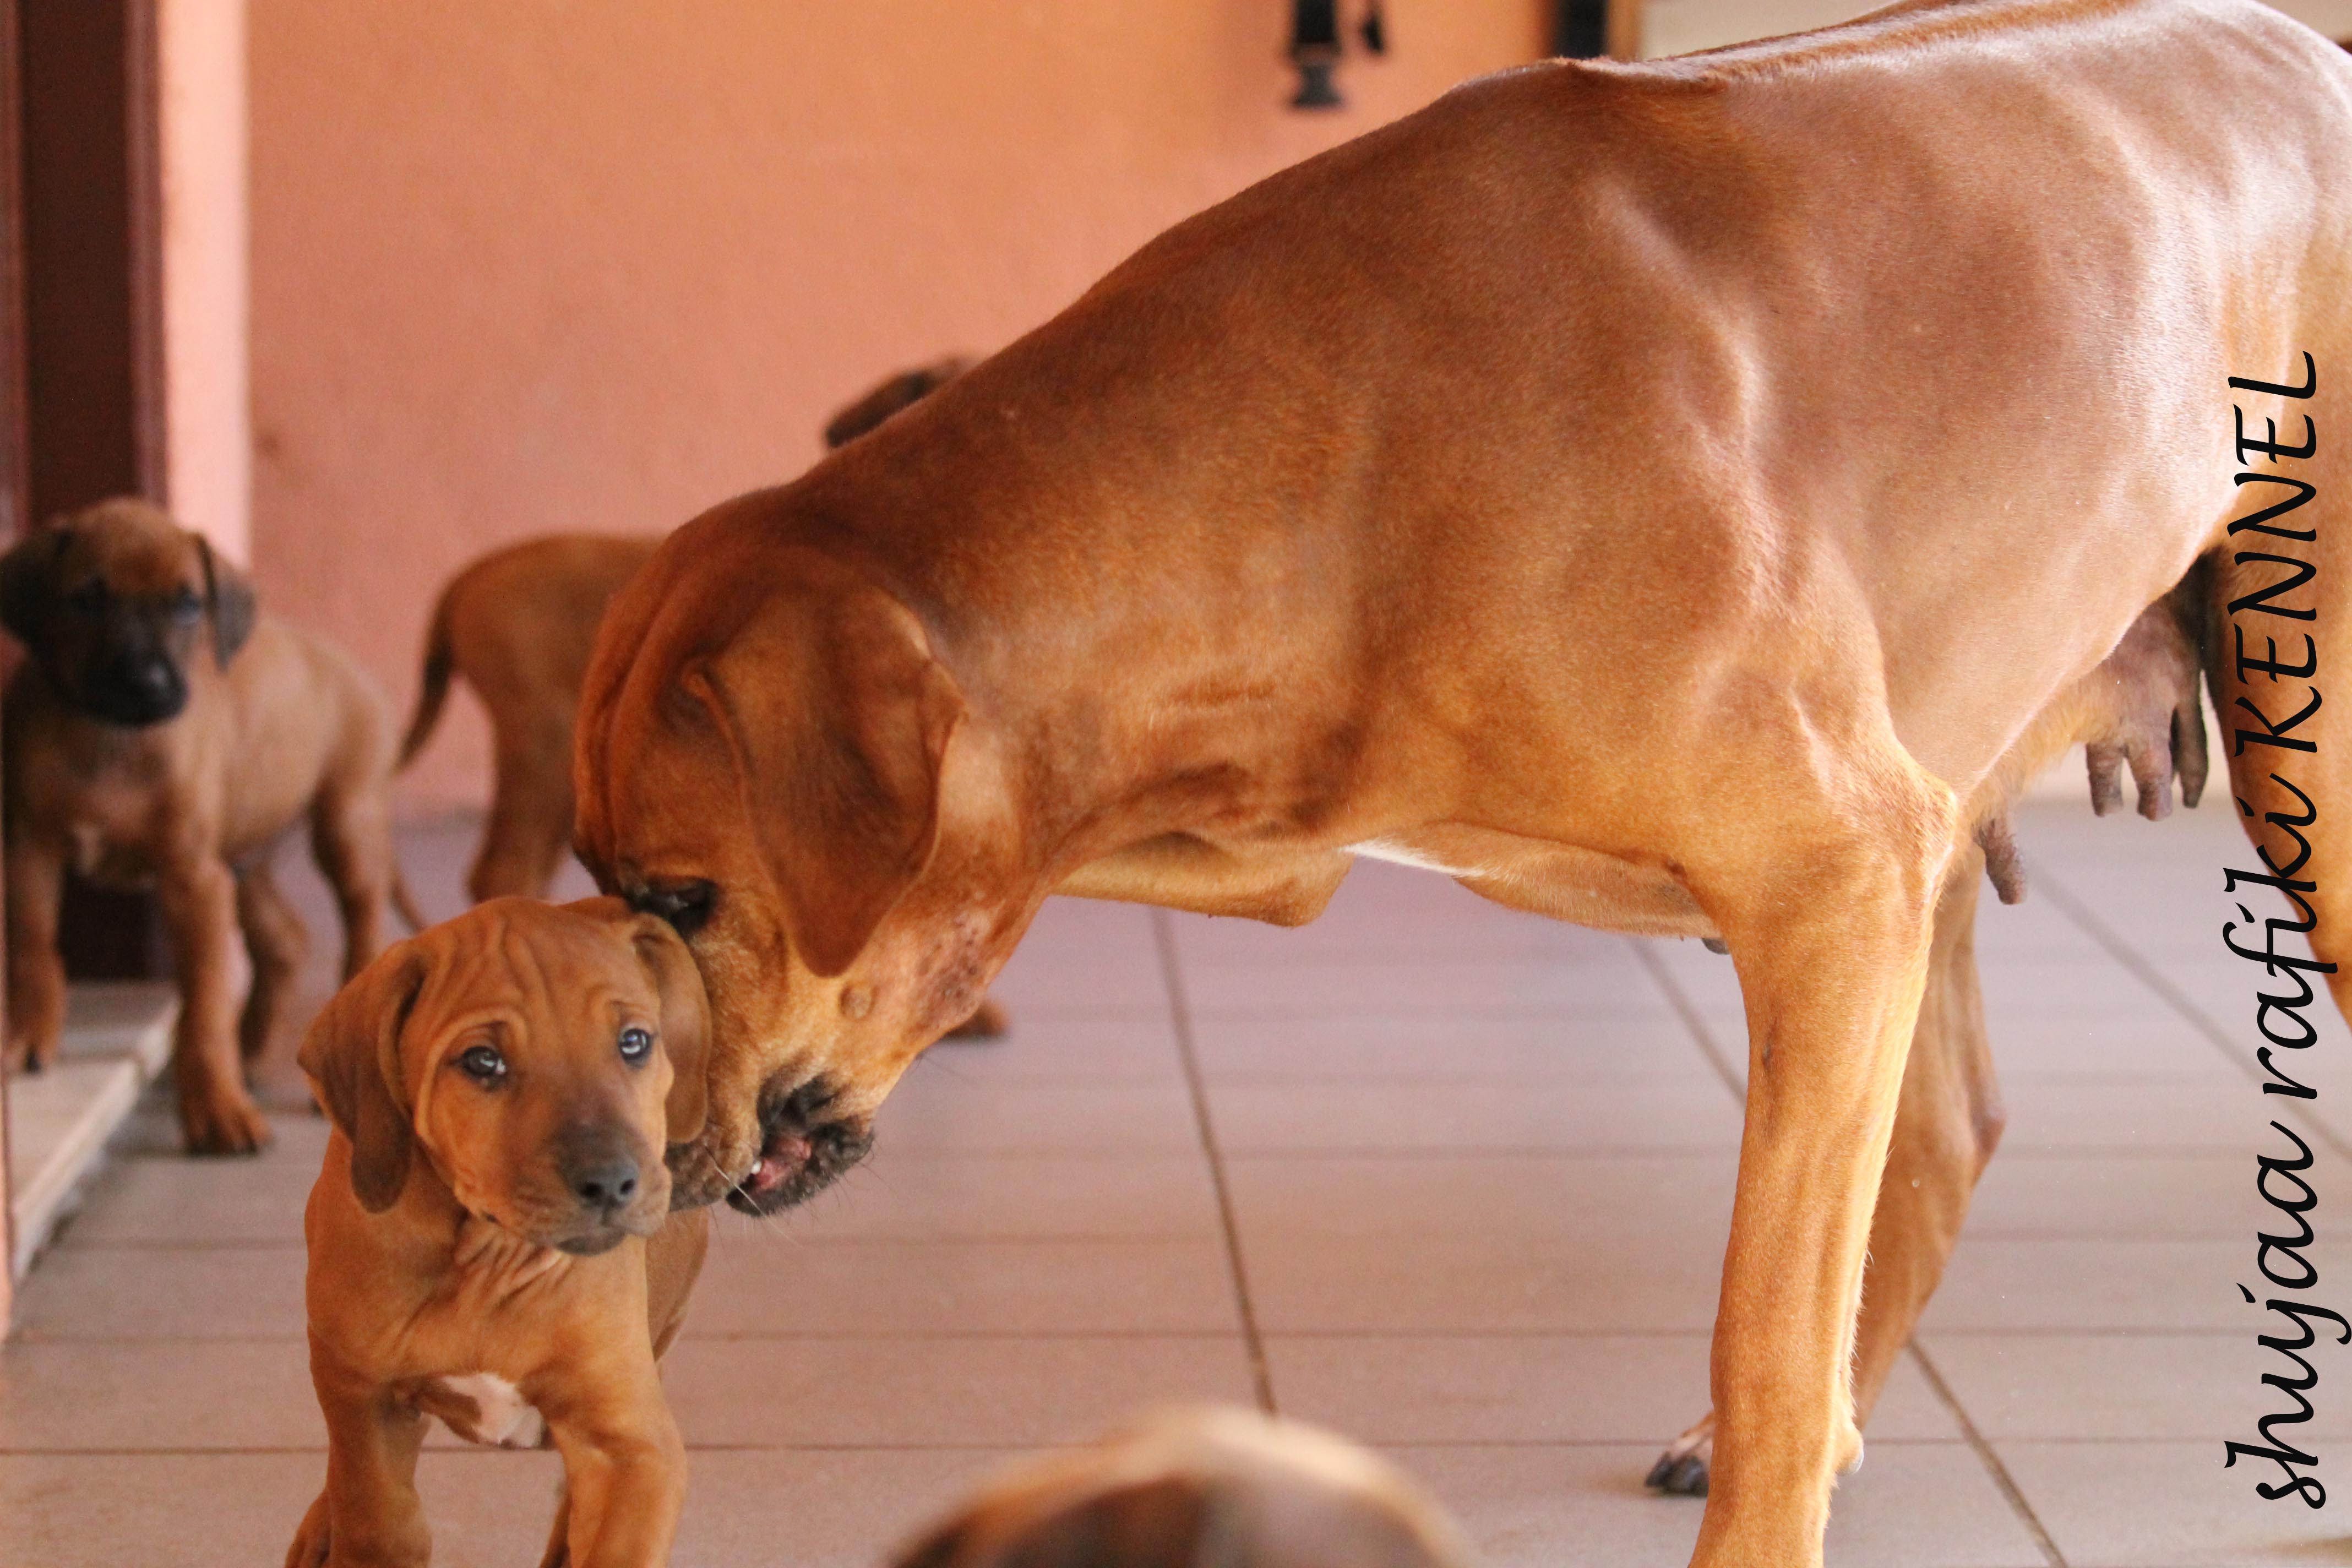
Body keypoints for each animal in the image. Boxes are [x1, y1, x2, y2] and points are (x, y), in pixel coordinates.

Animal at [1, 497, 419, 1153]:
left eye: (188, 603)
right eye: (87, 599)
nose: (148, 685)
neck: (112, 739)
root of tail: (349, 666)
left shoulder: (192, 879)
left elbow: (202, 1004)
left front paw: (218, 1110)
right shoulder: (29, 851)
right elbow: (33, 948)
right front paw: (28, 1036)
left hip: (347, 825)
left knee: (362, 927)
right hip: (245, 859)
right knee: (284, 941)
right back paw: (253, 1052)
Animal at [285, 896, 710, 1568]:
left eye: (634, 1042)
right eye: (483, 1061)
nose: (610, 1182)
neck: (490, 1260)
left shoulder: (634, 1447)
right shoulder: (363, 1397)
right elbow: (381, 1521)